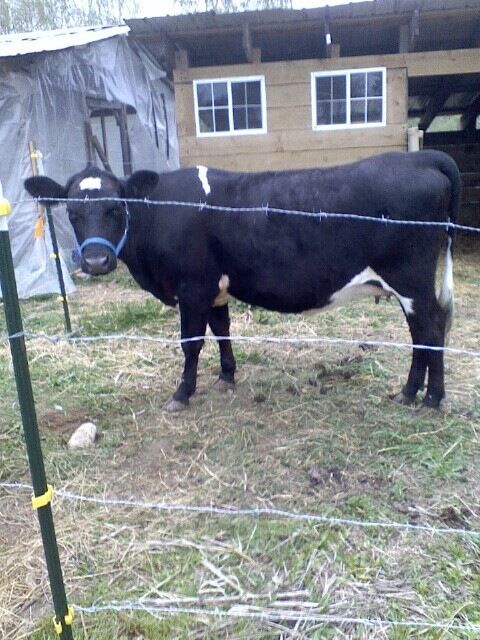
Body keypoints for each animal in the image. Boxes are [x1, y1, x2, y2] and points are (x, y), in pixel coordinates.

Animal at [25, 150, 460, 412]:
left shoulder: (192, 286)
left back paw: (430, 398)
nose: (96, 261)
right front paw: (226, 376)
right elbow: (222, 330)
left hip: (411, 277)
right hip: (408, 284)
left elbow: (191, 342)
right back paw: (410, 393)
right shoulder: (215, 289)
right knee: (422, 331)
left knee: (431, 327)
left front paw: (182, 394)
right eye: (72, 213)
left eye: (117, 208)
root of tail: (419, 157)